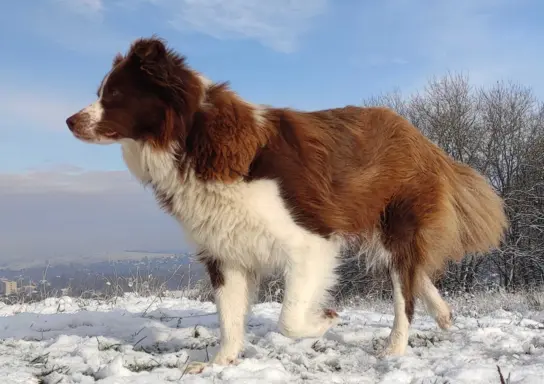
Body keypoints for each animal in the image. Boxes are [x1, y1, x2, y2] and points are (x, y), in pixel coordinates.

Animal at [66, 35, 508, 372]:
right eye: (101, 92)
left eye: (115, 94)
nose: (70, 121)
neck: (194, 139)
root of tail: (421, 138)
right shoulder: (223, 250)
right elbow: (229, 317)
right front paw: (221, 363)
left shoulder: (311, 240)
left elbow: (288, 318)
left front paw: (324, 319)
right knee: (415, 274)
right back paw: (443, 313)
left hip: (398, 220)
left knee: (405, 293)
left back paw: (395, 347)